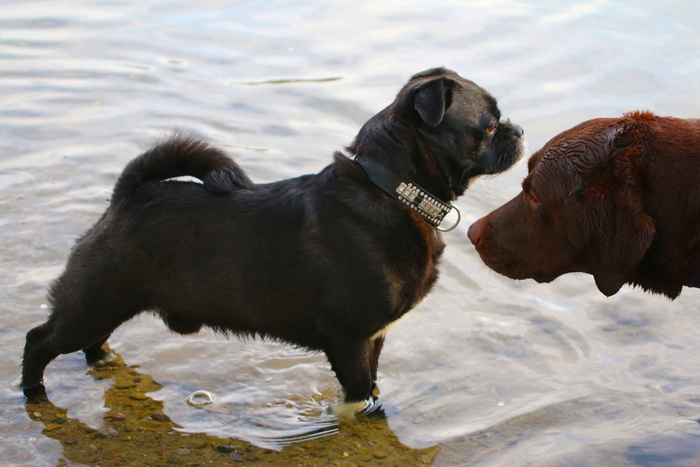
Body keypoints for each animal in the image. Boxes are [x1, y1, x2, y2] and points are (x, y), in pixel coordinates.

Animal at [20, 66, 524, 410]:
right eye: (489, 126)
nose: (518, 129)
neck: (391, 189)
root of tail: (128, 194)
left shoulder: (374, 338)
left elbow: (374, 383)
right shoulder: (349, 338)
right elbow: (360, 394)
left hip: (109, 299)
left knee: (92, 339)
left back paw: (101, 364)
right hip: (94, 299)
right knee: (40, 340)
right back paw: (34, 393)